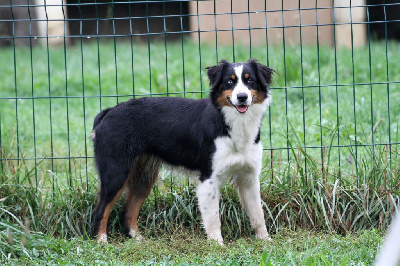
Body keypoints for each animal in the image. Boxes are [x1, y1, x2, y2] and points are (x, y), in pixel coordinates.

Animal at [92, 58, 276, 243]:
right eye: (229, 82)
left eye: (250, 80)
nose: (242, 97)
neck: (232, 123)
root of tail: (108, 112)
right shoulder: (208, 179)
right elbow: (213, 219)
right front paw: (217, 244)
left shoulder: (249, 178)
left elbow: (258, 215)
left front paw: (265, 241)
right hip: (116, 172)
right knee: (100, 210)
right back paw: (102, 241)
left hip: (144, 176)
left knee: (126, 211)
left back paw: (138, 239)